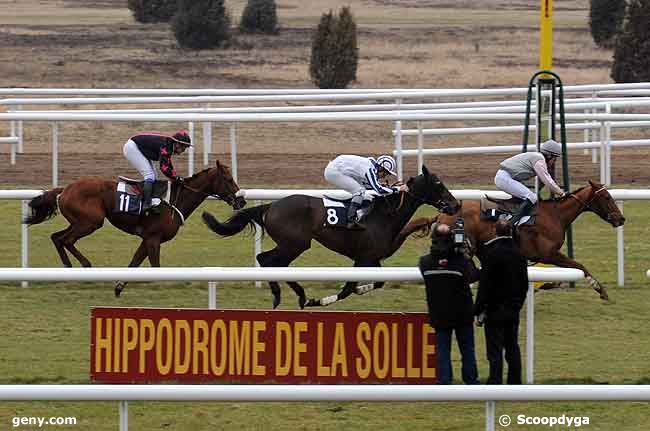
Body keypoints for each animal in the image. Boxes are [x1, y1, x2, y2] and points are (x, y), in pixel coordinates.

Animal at [23, 160, 243, 298]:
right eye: (229, 179)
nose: (241, 200)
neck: (175, 199)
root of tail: (65, 189)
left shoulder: (147, 240)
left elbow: (134, 263)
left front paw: (119, 287)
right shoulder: (153, 239)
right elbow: (156, 268)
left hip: (80, 222)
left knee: (56, 237)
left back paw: (70, 267)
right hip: (90, 222)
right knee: (65, 240)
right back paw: (81, 266)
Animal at [200, 165, 458, 310]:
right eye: (438, 184)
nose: (455, 204)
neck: (385, 214)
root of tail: (271, 206)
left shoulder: (372, 258)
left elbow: (377, 283)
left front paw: (360, 290)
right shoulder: (362, 258)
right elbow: (347, 290)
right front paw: (320, 301)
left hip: (292, 245)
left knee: (273, 262)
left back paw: (297, 295)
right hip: (295, 243)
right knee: (266, 260)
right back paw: (289, 295)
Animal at [430, 180, 624, 300]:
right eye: (607, 197)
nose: (621, 219)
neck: (555, 215)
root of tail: (443, 214)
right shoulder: (549, 254)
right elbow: (580, 266)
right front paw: (600, 290)